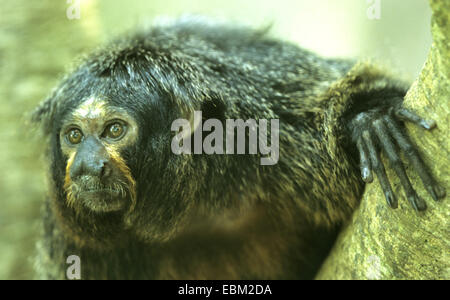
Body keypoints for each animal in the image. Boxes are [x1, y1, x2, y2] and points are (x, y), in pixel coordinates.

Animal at [31, 17, 442, 280]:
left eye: (114, 130)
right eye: (74, 136)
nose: (85, 167)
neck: (197, 203)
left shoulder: (283, 131)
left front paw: (371, 119)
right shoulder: (72, 245)